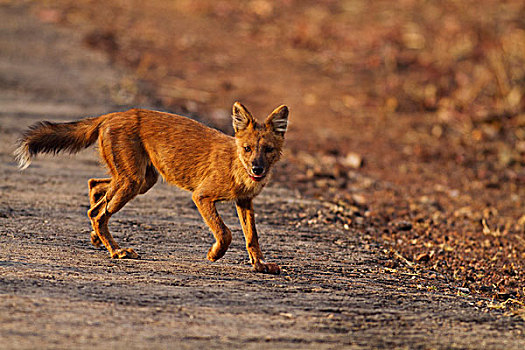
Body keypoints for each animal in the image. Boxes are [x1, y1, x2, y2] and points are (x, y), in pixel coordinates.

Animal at [15, 102, 286, 274]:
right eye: (247, 149)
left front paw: (260, 265)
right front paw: (214, 254)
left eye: (268, 149)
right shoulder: (202, 196)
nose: (257, 169)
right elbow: (225, 232)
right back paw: (116, 251)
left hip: (141, 181)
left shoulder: (244, 201)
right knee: (98, 212)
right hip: (132, 181)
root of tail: (111, 114)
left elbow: (252, 237)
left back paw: (97, 238)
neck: (236, 165)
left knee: (95, 189)